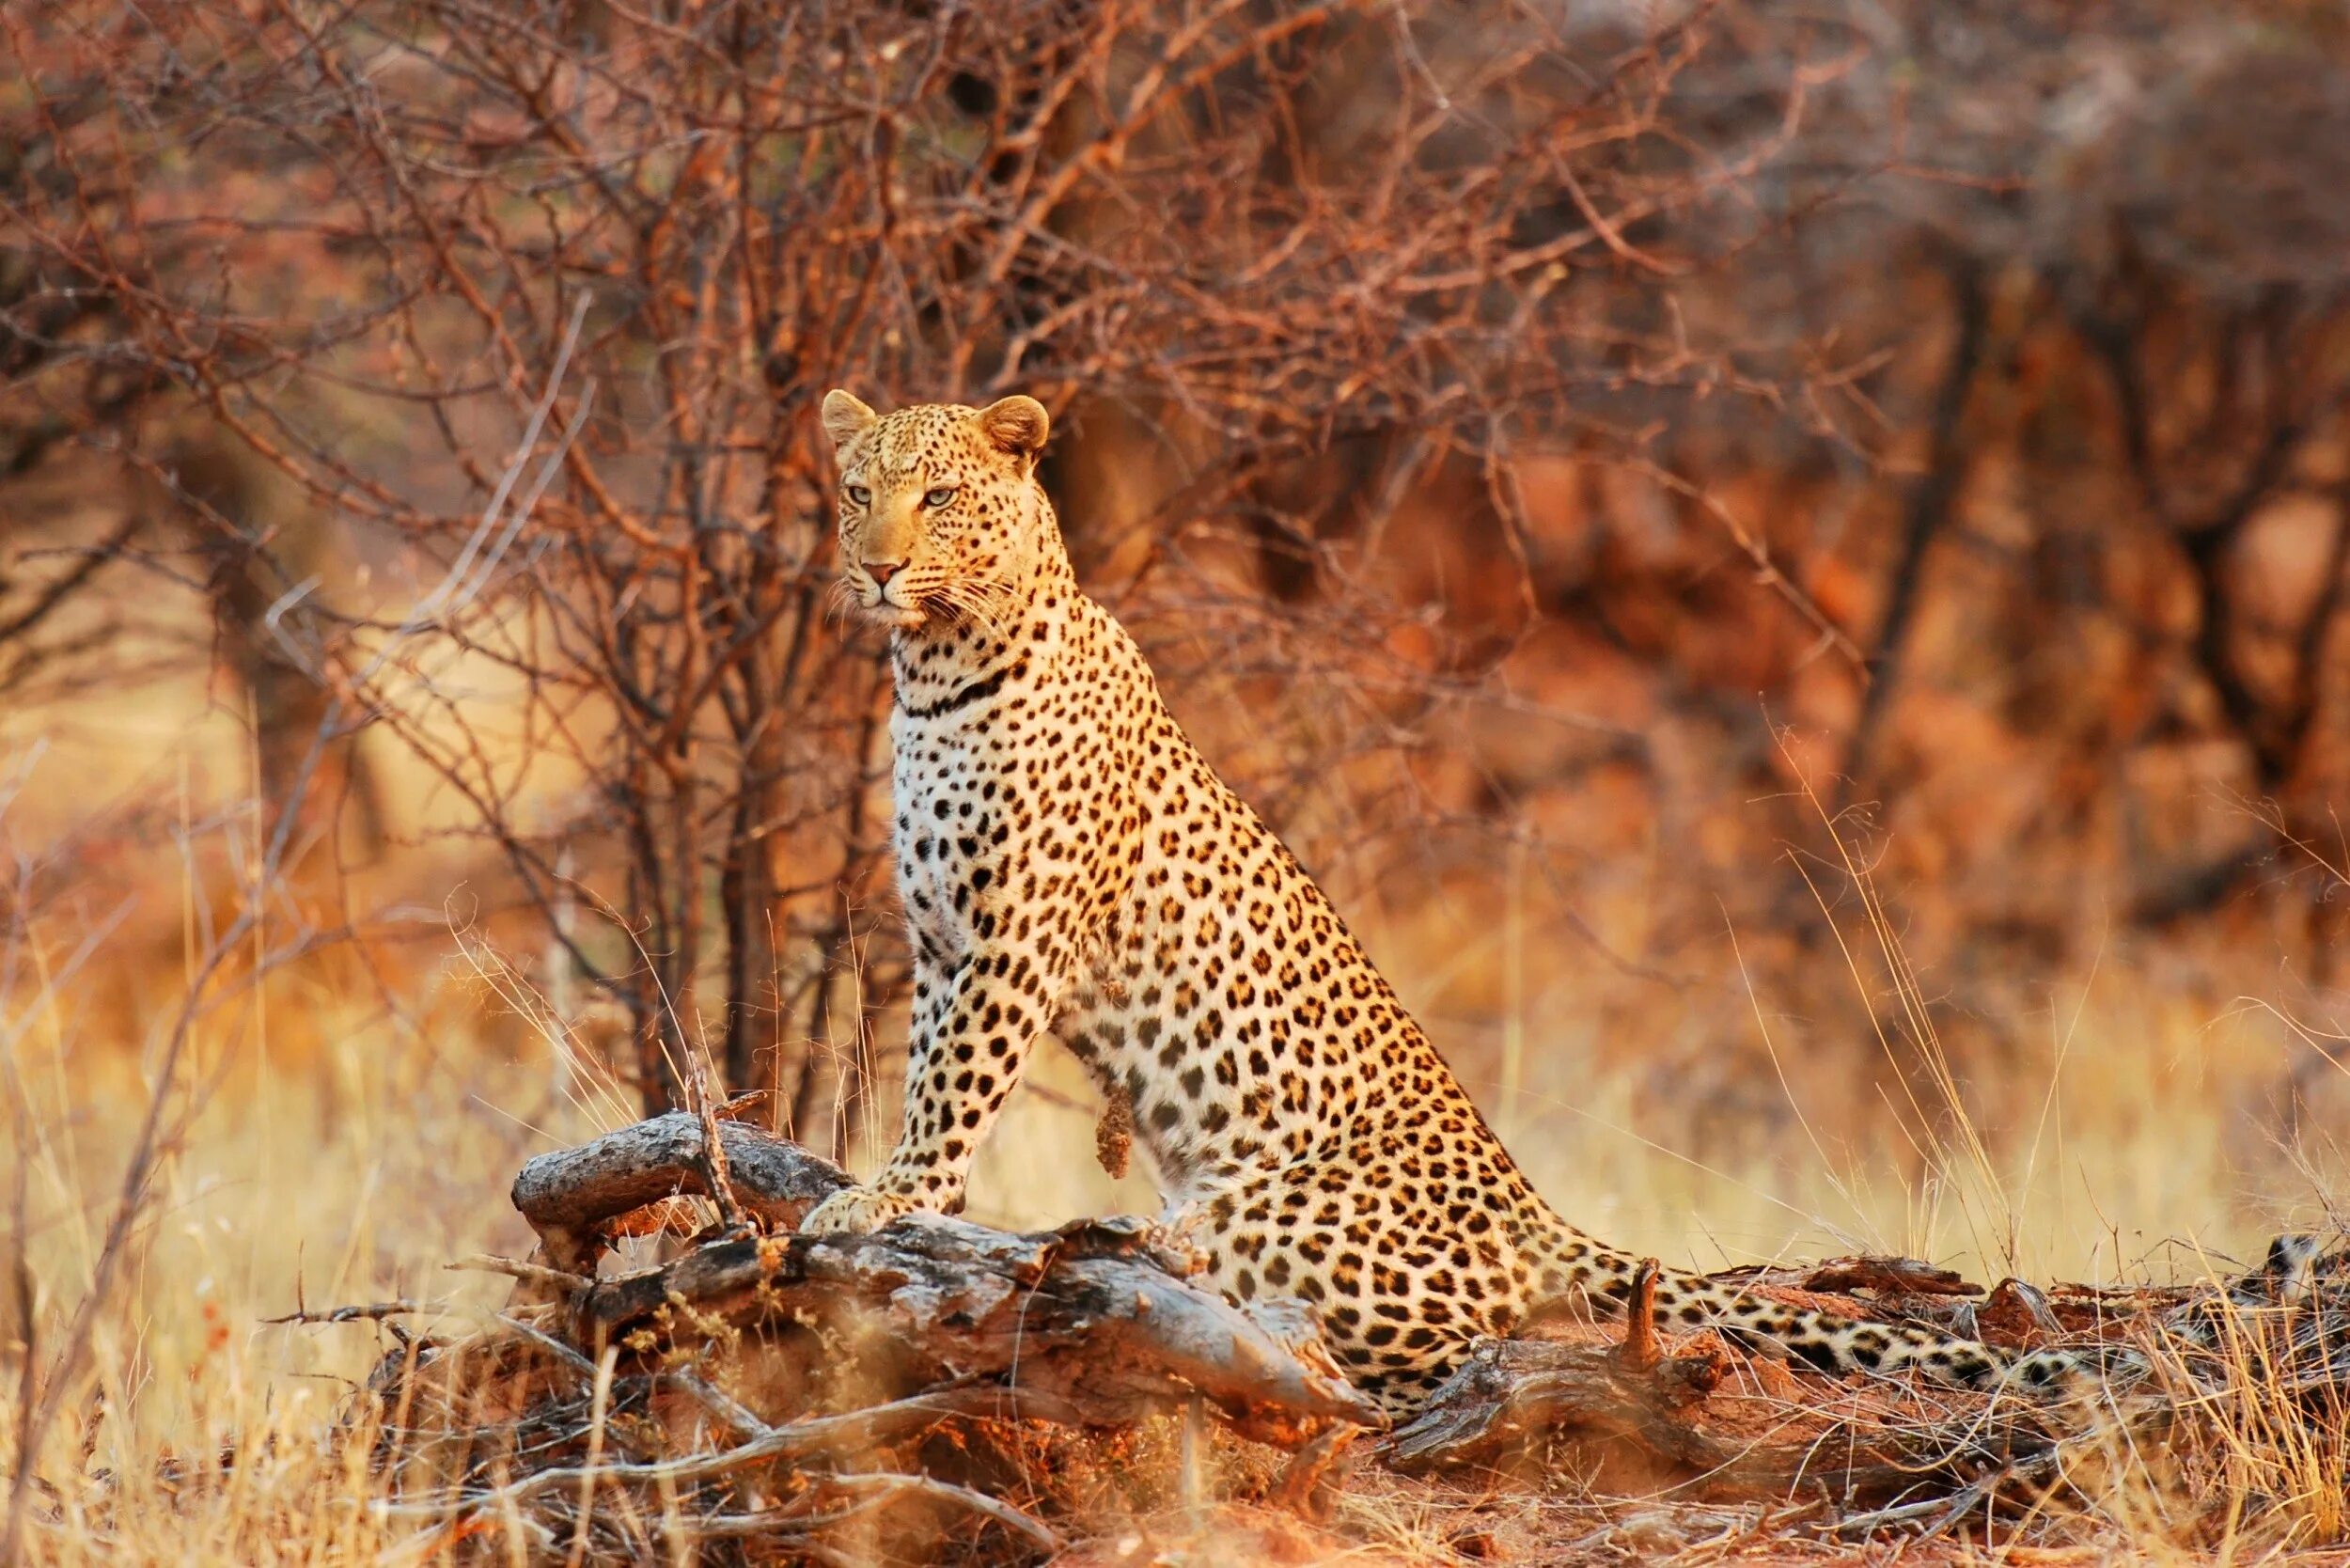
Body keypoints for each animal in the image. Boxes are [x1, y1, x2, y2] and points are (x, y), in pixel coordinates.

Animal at [799, 395, 2106, 1419]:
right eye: (858, 493)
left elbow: (951, 1093)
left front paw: (888, 1199)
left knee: (1439, 1349)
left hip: (1287, 1222)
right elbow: (927, 1073)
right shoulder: (939, 942)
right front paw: (899, 1193)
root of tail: (1533, 1212)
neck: (935, 676)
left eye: (940, 499)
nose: (876, 568)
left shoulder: (1010, 941)